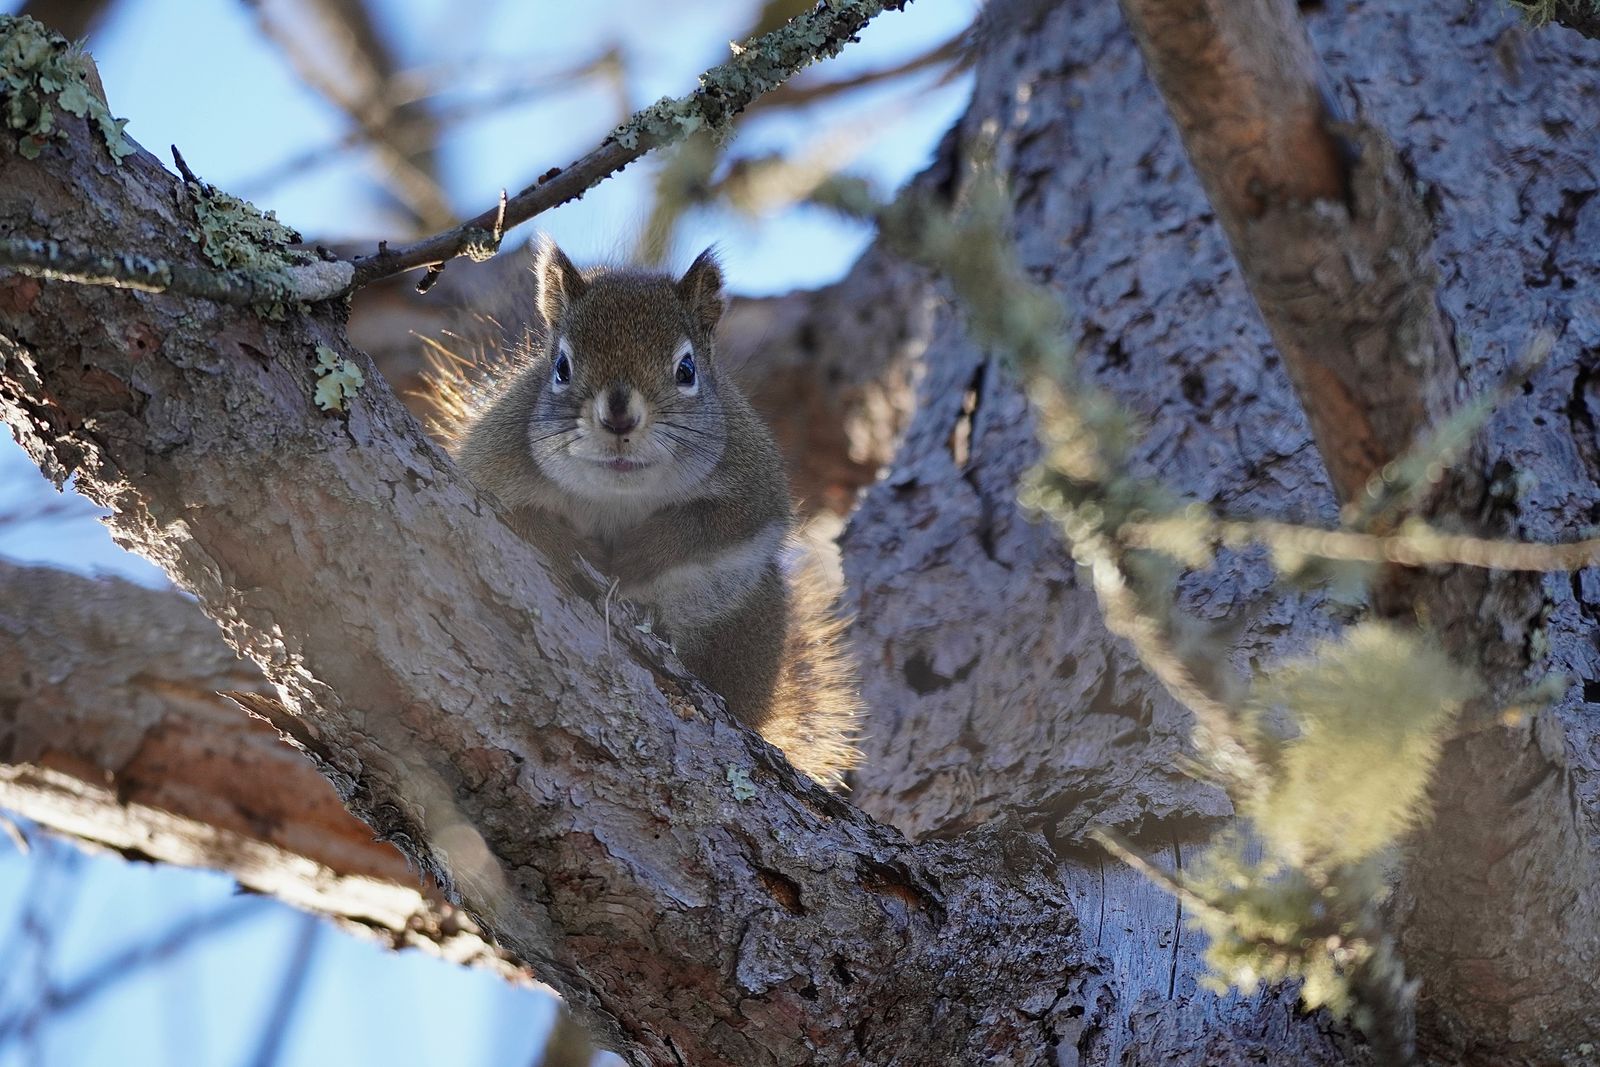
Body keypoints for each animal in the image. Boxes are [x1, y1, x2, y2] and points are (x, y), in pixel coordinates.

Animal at [448, 239, 861, 789]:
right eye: (560, 367)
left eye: (687, 370)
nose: (619, 416)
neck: (619, 494)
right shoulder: (492, 464)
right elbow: (517, 514)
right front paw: (564, 543)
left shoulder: (752, 486)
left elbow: (709, 528)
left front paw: (637, 558)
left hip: (745, 627)